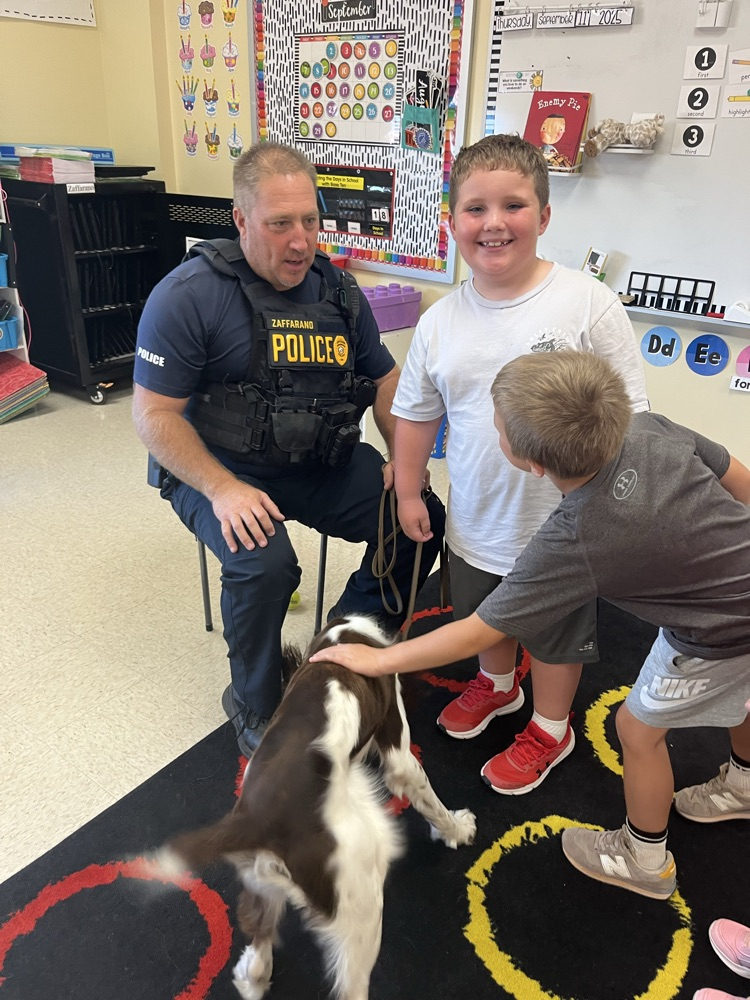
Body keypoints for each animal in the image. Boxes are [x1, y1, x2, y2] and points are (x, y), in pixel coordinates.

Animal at [156, 615, 476, 1000]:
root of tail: (258, 821)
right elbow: (429, 798)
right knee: (352, 985)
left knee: (259, 944)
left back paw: (253, 976)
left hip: (261, 878)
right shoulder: (398, 751)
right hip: (360, 901)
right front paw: (458, 829)